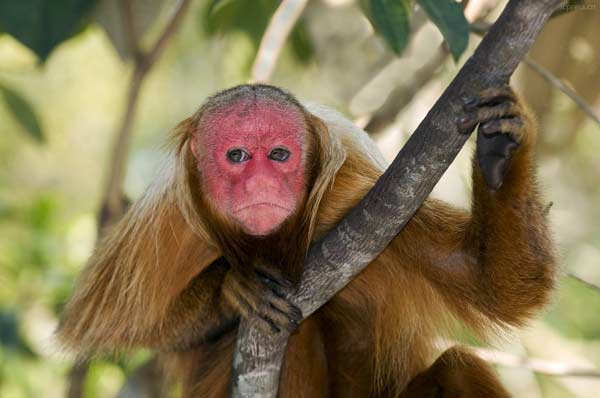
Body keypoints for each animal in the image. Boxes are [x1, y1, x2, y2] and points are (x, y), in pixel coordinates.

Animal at [58, 82, 556, 396]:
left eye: (280, 155)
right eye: (237, 156)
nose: (261, 183)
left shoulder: (364, 195)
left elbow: (490, 283)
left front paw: (500, 154)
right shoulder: (168, 224)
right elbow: (108, 327)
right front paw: (232, 289)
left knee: (458, 367)